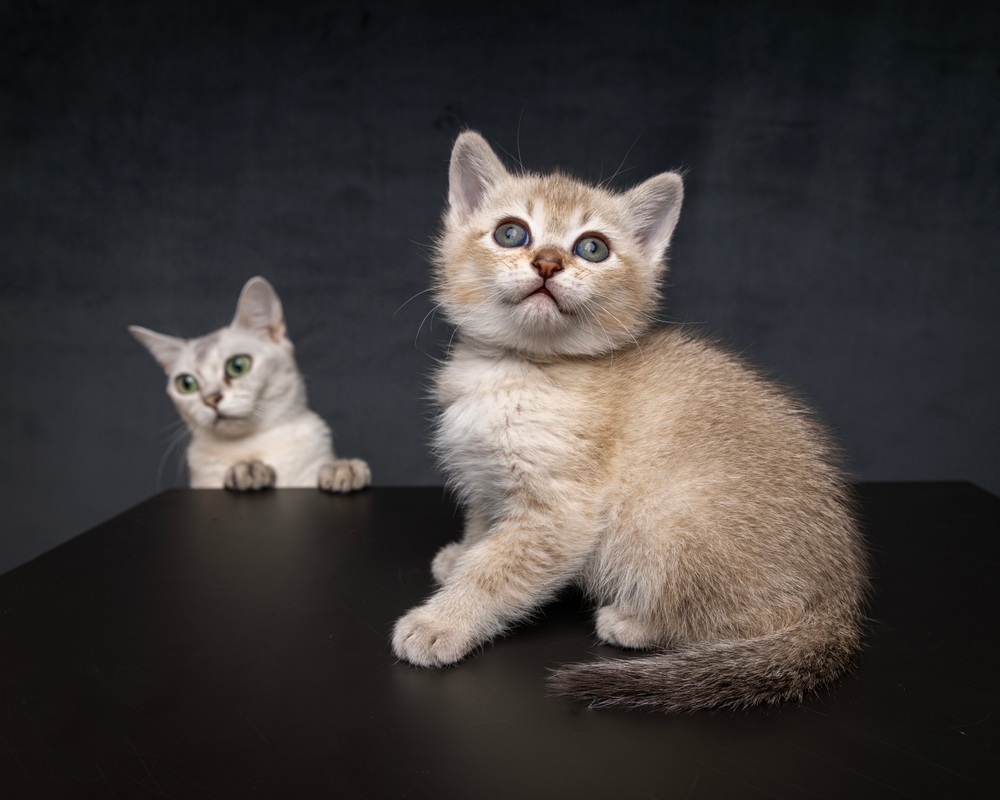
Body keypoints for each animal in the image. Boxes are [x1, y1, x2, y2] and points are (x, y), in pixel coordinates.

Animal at [129, 280, 372, 494]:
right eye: (186, 384)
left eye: (238, 366)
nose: (211, 399)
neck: (254, 444)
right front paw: (248, 470)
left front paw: (343, 468)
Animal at [390, 133, 868, 712]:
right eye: (511, 233)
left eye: (591, 247)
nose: (547, 262)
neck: (518, 369)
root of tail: (842, 594)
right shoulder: (488, 482)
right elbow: (484, 527)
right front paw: (460, 557)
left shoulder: (560, 515)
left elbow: (497, 572)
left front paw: (441, 621)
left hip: (668, 513)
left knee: (766, 617)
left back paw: (636, 623)